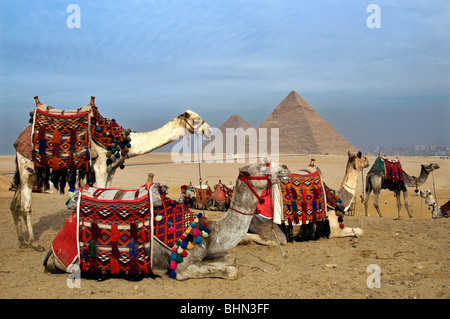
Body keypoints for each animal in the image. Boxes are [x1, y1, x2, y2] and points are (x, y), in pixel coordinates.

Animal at [9, 96, 212, 251]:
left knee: (16, 203)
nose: (208, 130)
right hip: (27, 167)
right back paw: (34, 243)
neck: (124, 142)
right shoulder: (99, 167)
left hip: (31, 171)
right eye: (196, 119)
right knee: (26, 205)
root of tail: (18, 139)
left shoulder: (112, 170)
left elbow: (107, 195)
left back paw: (22, 241)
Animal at [44, 162, 292, 280]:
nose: (285, 168)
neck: (211, 232)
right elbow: (231, 271)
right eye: (262, 165)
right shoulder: (182, 269)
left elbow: (232, 258)